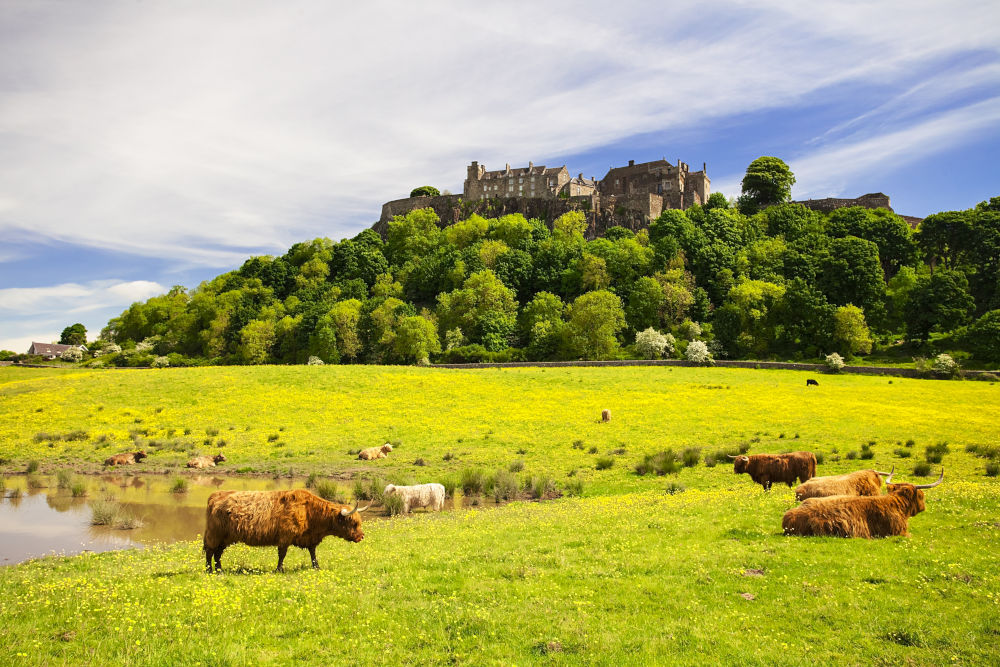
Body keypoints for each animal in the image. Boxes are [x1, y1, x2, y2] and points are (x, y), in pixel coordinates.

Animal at [203, 488, 372, 576]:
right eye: (353, 523)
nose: (361, 536)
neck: (310, 512)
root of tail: (215, 495)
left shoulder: (310, 539)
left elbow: (313, 553)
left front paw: (316, 567)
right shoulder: (285, 537)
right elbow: (282, 555)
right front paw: (279, 570)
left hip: (225, 538)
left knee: (218, 553)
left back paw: (220, 570)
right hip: (215, 534)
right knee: (210, 551)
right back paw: (210, 570)